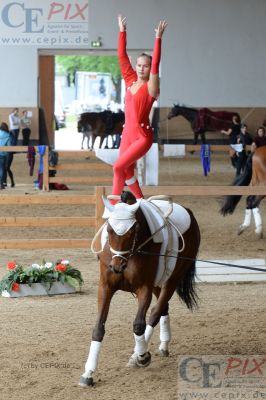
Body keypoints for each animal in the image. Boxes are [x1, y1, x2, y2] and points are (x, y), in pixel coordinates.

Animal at [78, 192, 200, 386]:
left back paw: (137, 355)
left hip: (172, 278)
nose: (117, 267)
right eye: (109, 230)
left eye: (132, 231)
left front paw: (142, 357)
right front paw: (88, 373)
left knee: (156, 311)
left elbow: (138, 325)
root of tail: (188, 212)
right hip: (158, 282)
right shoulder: (105, 287)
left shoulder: (144, 288)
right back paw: (163, 345)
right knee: (163, 308)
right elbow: (98, 328)